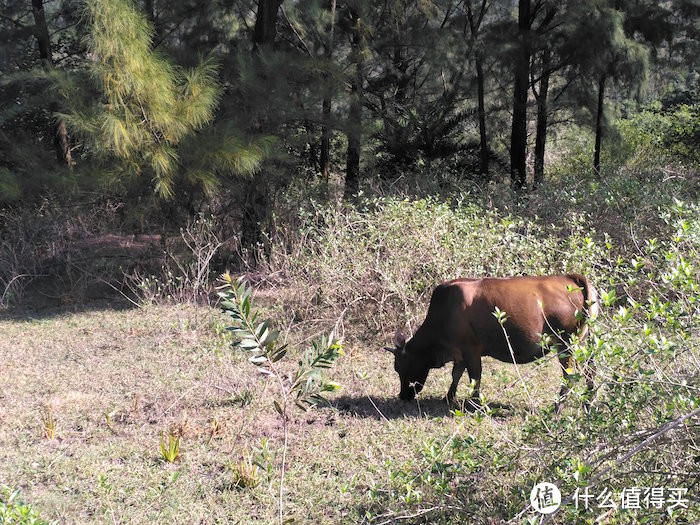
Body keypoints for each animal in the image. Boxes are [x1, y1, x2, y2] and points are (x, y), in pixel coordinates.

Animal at [386, 274, 600, 410]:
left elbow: (474, 377)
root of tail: (570, 277)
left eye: (400, 368)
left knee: (569, 375)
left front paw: (474, 403)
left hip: (565, 344)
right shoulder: (459, 352)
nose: (402, 396)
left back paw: (557, 407)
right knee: (591, 371)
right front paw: (448, 397)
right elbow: (456, 374)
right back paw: (588, 402)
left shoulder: (471, 349)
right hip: (585, 343)